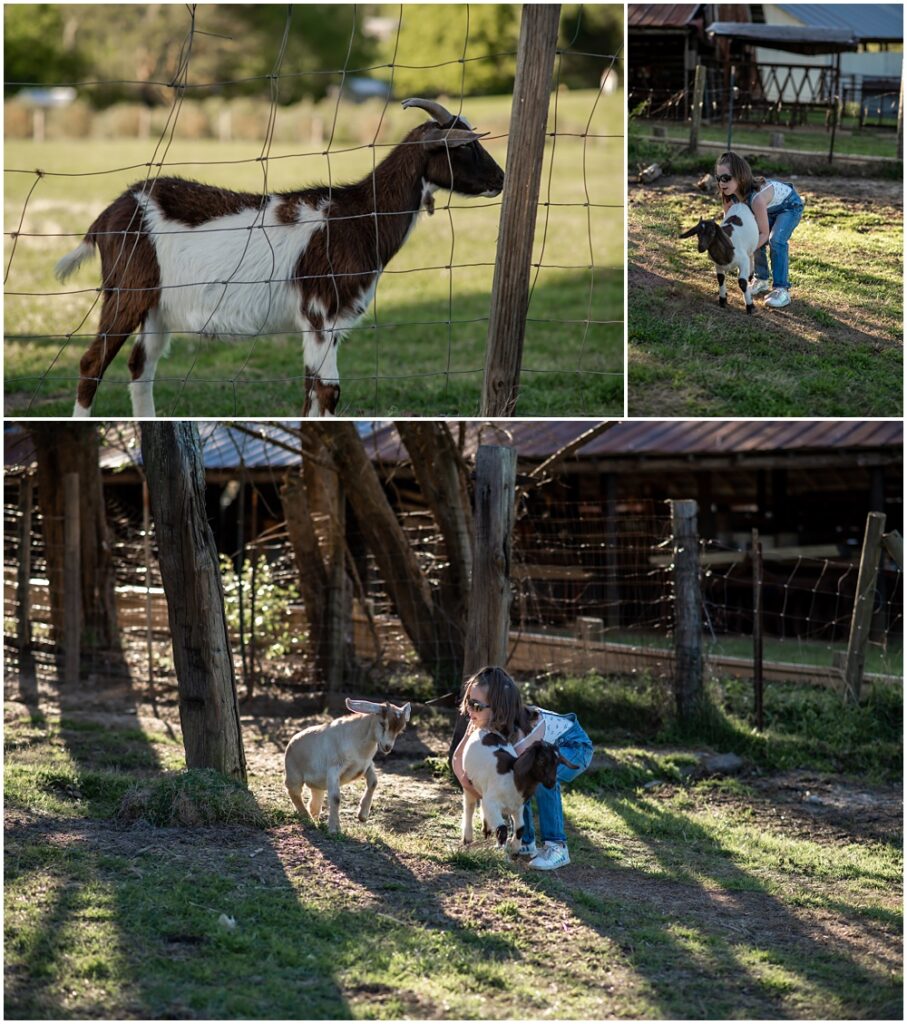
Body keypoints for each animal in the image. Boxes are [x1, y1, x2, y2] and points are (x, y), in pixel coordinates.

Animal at [55, 96, 511, 415]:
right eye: (464, 147)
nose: (501, 179)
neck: (357, 216)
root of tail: (105, 217)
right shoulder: (321, 310)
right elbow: (329, 391)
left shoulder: (323, 323)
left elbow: (312, 391)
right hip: (127, 291)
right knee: (92, 363)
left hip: (158, 307)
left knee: (140, 368)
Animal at [284, 696, 411, 831]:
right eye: (382, 723)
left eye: (400, 729)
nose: (387, 747)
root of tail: (291, 742)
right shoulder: (334, 769)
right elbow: (335, 798)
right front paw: (334, 828)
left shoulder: (366, 765)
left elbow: (373, 782)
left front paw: (362, 816)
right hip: (294, 774)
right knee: (294, 792)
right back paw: (307, 818)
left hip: (317, 784)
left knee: (315, 799)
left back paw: (314, 818)